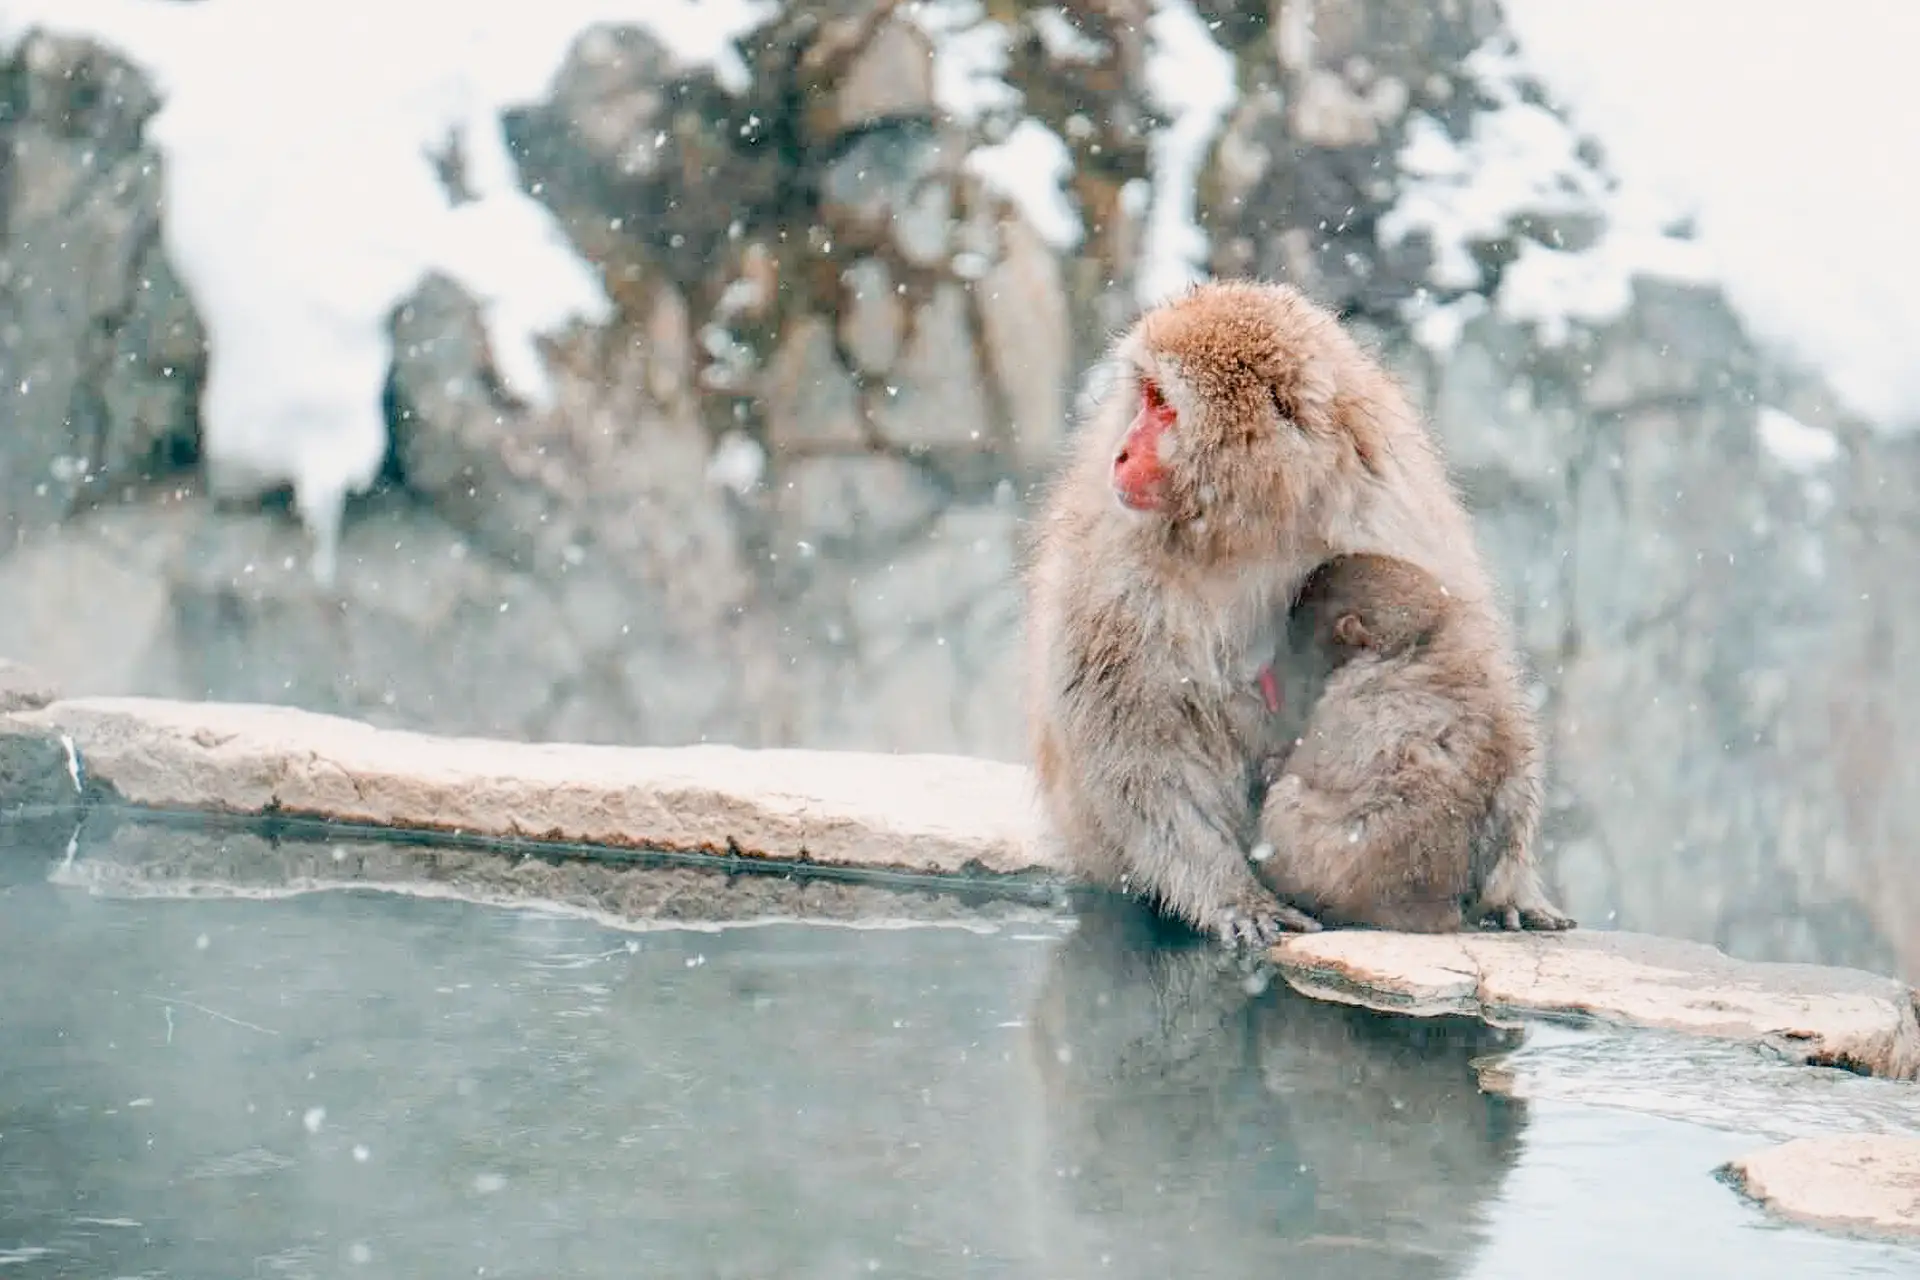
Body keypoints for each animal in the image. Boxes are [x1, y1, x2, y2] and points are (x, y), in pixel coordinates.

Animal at [1251, 554, 1575, 933]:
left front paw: (1273, 765)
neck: (1417, 642)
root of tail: (1439, 910)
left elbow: (1305, 766)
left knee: (1286, 795)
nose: (1275, 664)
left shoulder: (1343, 703)